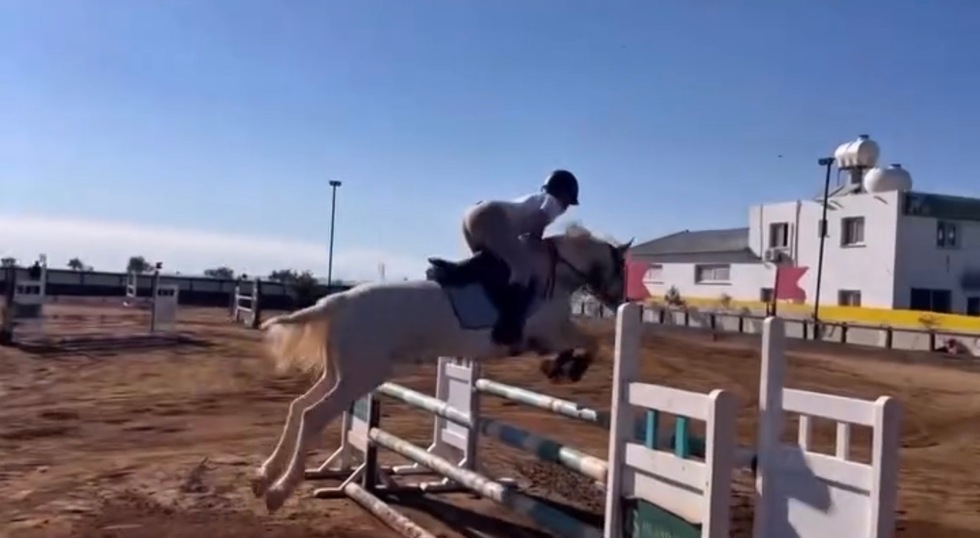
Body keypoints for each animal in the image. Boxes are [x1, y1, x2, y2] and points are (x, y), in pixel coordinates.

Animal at [250, 224, 631, 512]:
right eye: (623, 268)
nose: (620, 302)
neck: (557, 272)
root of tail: (335, 301)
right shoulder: (549, 331)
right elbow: (590, 343)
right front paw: (568, 368)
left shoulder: (551, 333)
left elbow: (586, 343)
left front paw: (561, 367)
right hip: (359, 377)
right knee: (312, 415)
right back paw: (278, 491)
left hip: (341, 374)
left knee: (297, 407)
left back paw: (263, 477)